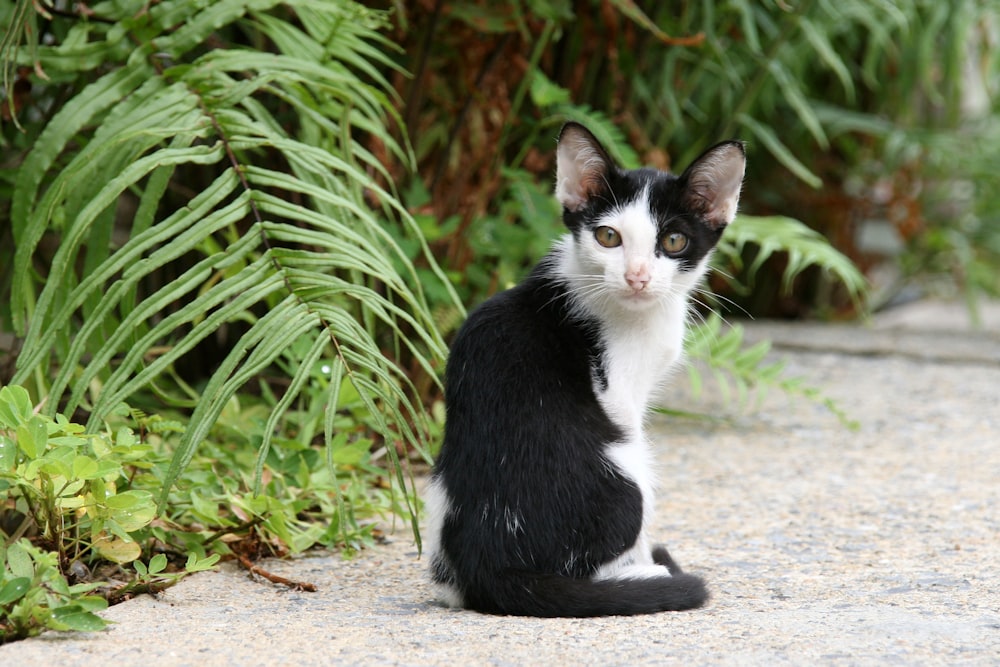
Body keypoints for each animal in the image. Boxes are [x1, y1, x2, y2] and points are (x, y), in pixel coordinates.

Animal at [426, 122, 748, 620]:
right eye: (608, 237)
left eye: (673, 241)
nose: (637, 277)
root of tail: (492, 566)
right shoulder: (619, 393)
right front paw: (646, 563)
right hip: (625, 468)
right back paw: (642, 575)